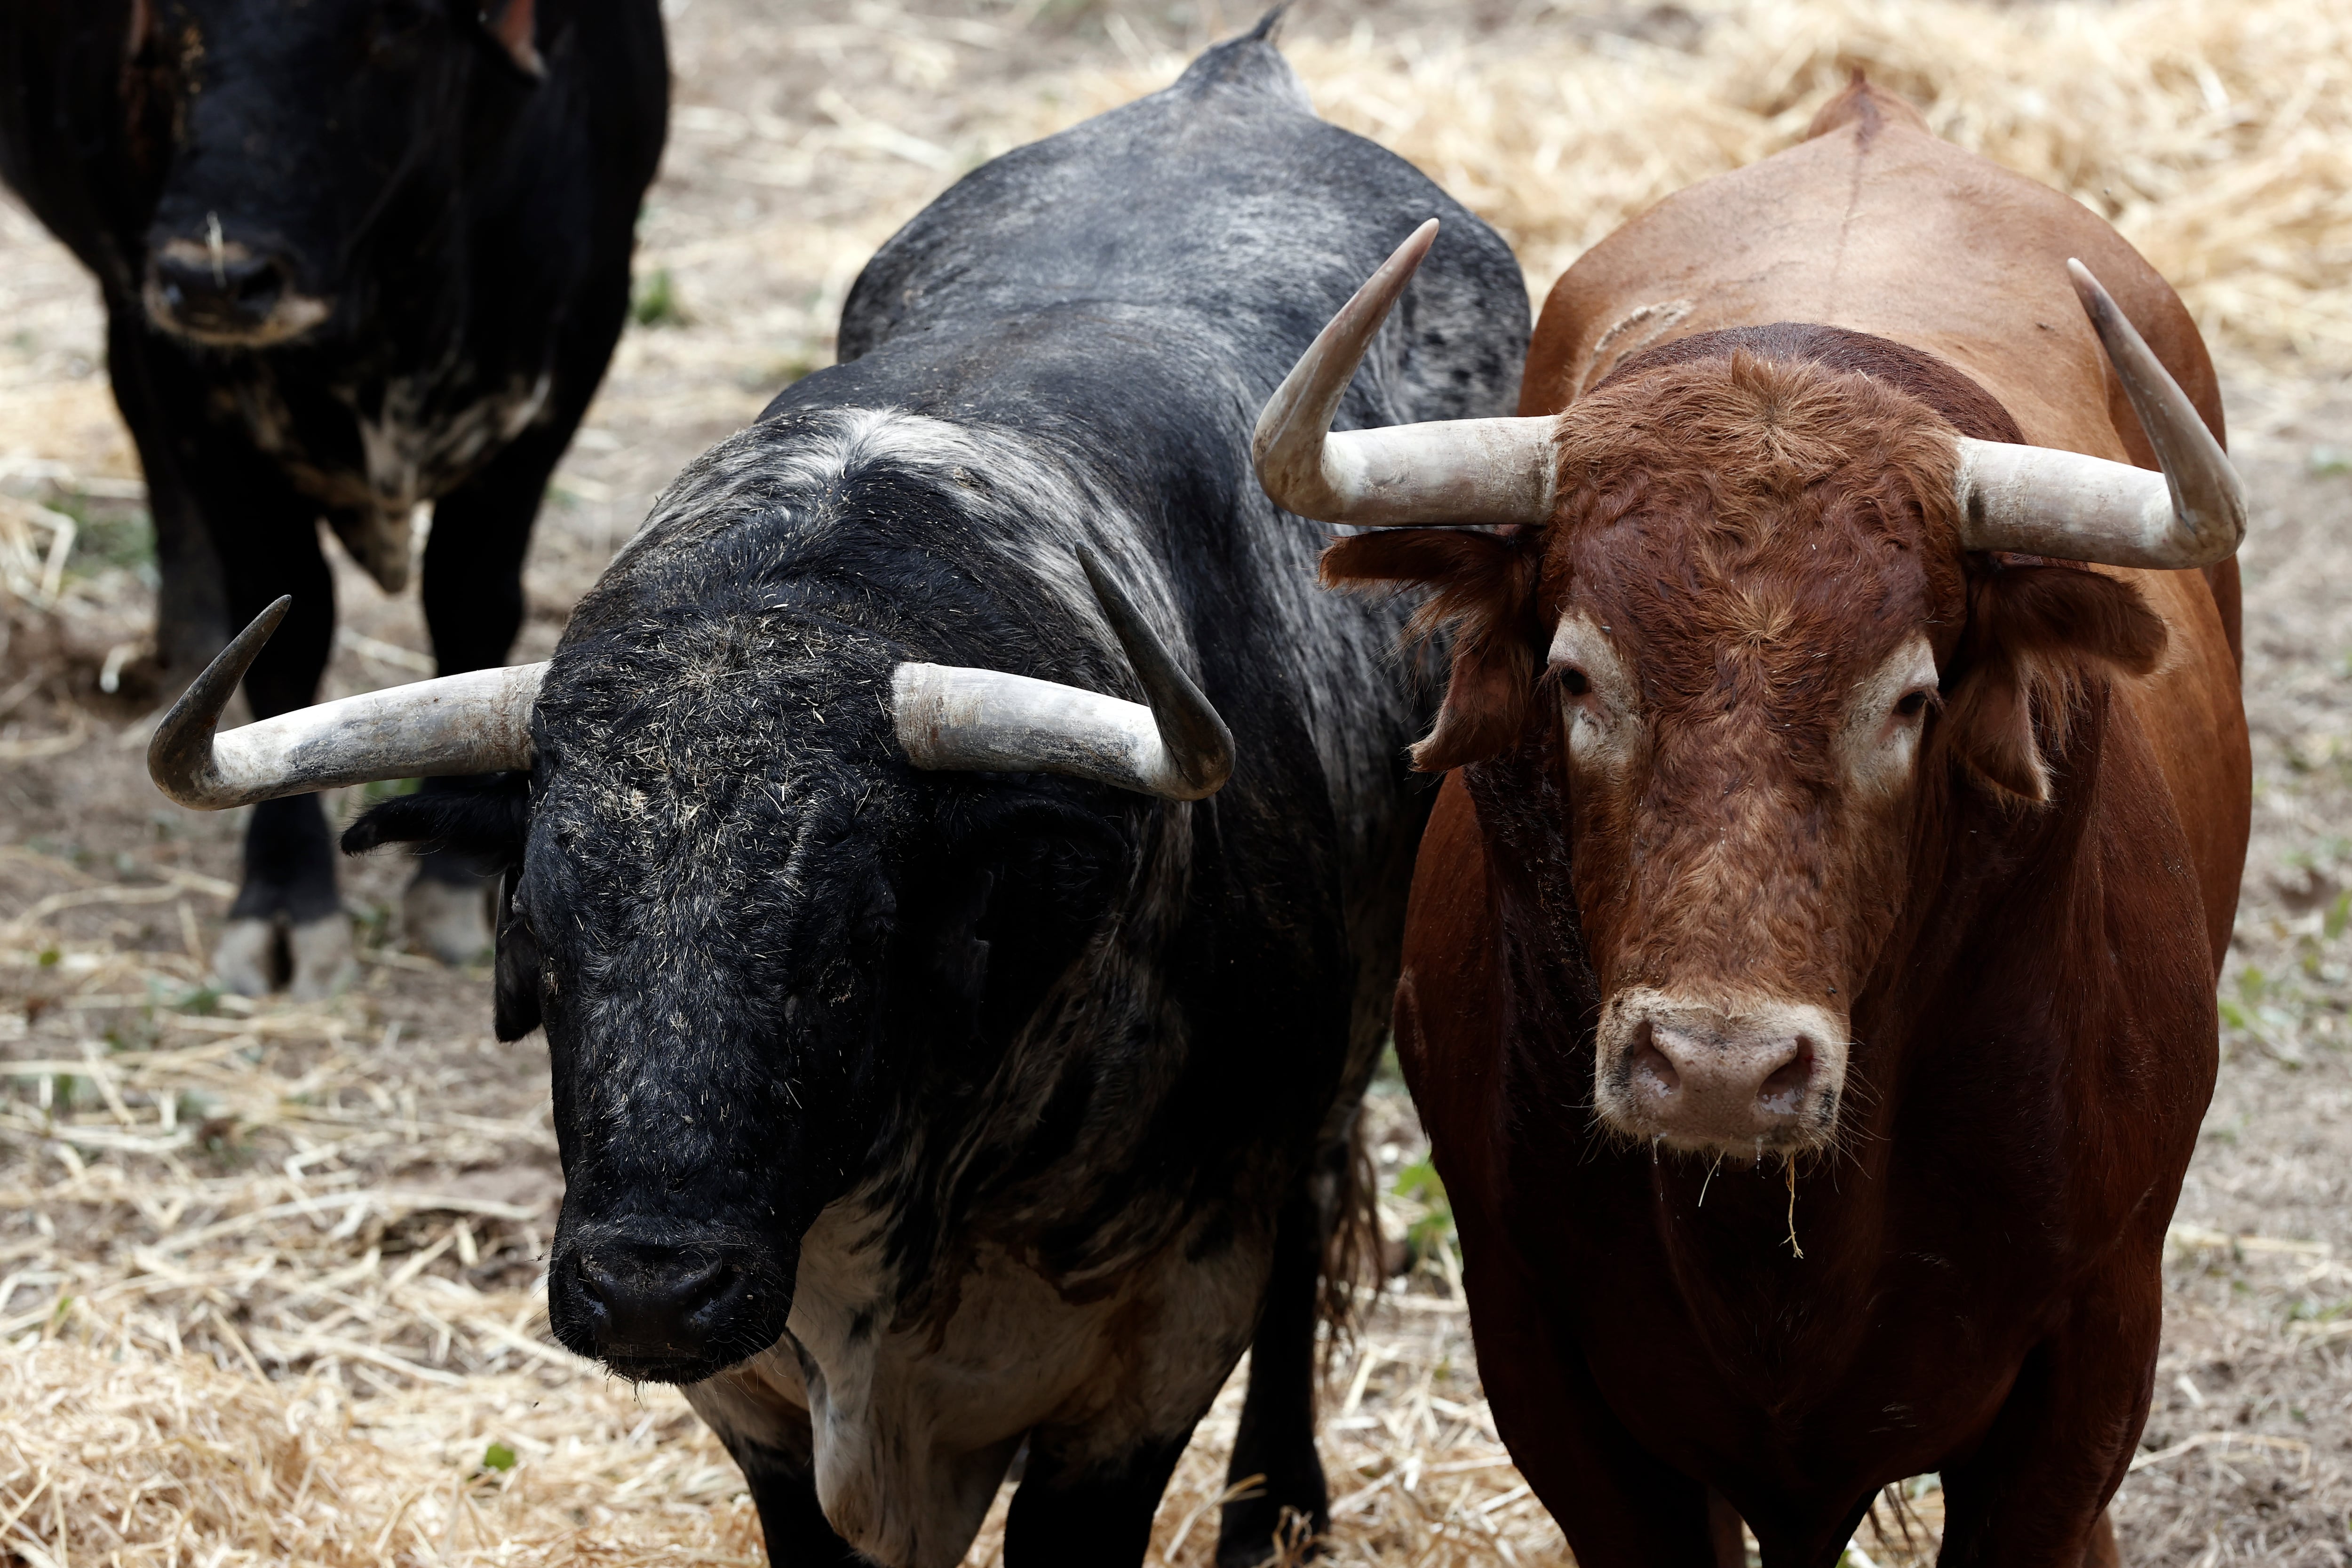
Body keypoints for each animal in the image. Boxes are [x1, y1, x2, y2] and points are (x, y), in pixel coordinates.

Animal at [0, 3, 668, 992]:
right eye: (175, 20)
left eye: (398, 27)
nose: (214, 277)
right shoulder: (197, 389)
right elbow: (290, 636)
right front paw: (286, 899)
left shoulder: (568, 359)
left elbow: (469, 603)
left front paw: (451, 881)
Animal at [327, 24, 1524, 1568]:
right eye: (538, 934)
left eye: (848, 951)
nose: (650, 1289)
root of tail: (1237, 76)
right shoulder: (761, 1411)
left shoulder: (1151, 1353)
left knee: (1316, 1205)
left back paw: (1277, 1506)